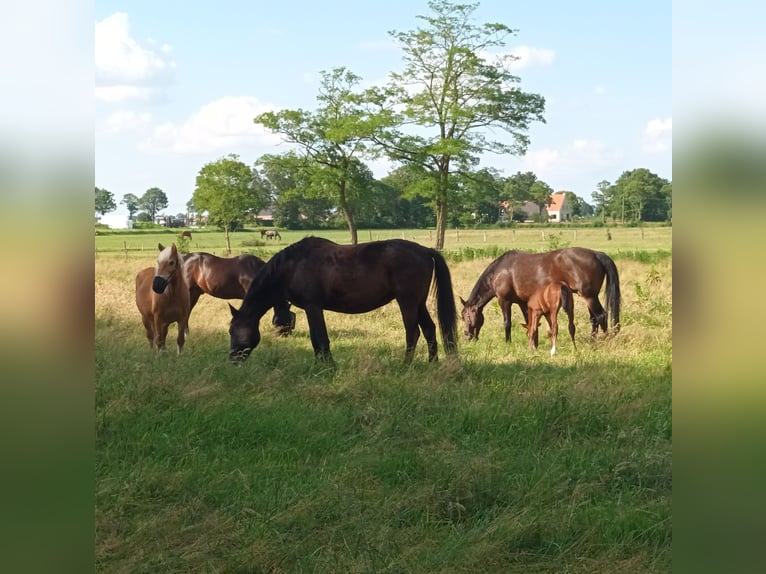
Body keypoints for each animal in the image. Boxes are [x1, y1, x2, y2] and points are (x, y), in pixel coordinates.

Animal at [225, 237, 460, 364]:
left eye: (233, 331)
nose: (232, 359)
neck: (292, 266)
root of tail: (426, 250)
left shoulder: (313, 306)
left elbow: (319, 339)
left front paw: (328, 367)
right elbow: (317, 340)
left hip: (408, 302)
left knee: (413, 333)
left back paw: (405, 365)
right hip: (419, 303)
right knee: (429, 329)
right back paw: (432, 363)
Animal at [460, 245, 620, 344]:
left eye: (464, 316)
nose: (467, 335)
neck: (499, 272)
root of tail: (596, 254)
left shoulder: (504, 301)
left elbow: (507, 322)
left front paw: (508, 342)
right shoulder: (523, 302)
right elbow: (529, 322)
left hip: (589, 296)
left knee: (601, 316)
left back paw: (606, 340)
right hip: (590, 297)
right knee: (594, 319)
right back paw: (592, 340)